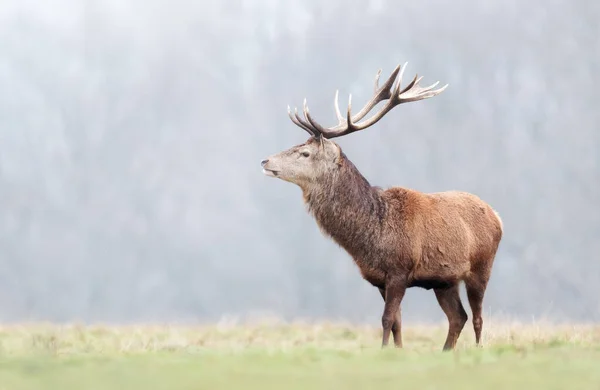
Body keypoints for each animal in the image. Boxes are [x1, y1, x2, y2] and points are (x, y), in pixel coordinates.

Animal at [260, 63, 504, 350]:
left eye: (305, 153)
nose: (265, 161)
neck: (372, 235)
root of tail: (497, 216)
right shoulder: (378, 278)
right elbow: (397, 321)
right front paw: (396, 351)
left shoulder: (400, 270)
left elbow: (387, 318)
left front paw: (384, 350)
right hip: (444, 280)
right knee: (458, 316)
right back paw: (446, 352)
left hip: (481, 265)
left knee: (477, 317)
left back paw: (477, 350)